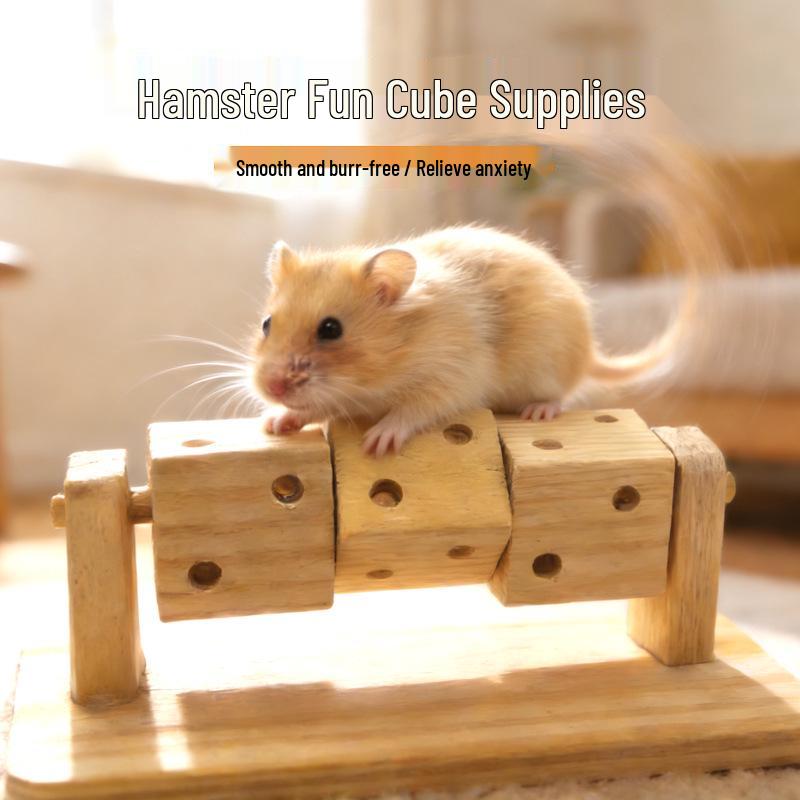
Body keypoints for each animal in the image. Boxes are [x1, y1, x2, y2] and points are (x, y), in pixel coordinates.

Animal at [251, 225, 669, 456]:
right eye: (267, 324)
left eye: (331, 329)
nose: (270, 388)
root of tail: (592, 351)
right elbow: (311, 409)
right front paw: (275, 424)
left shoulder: (451, 379)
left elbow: (412, 411)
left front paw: (378, 442)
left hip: (550, 368)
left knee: (560, 396)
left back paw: (537, 411)